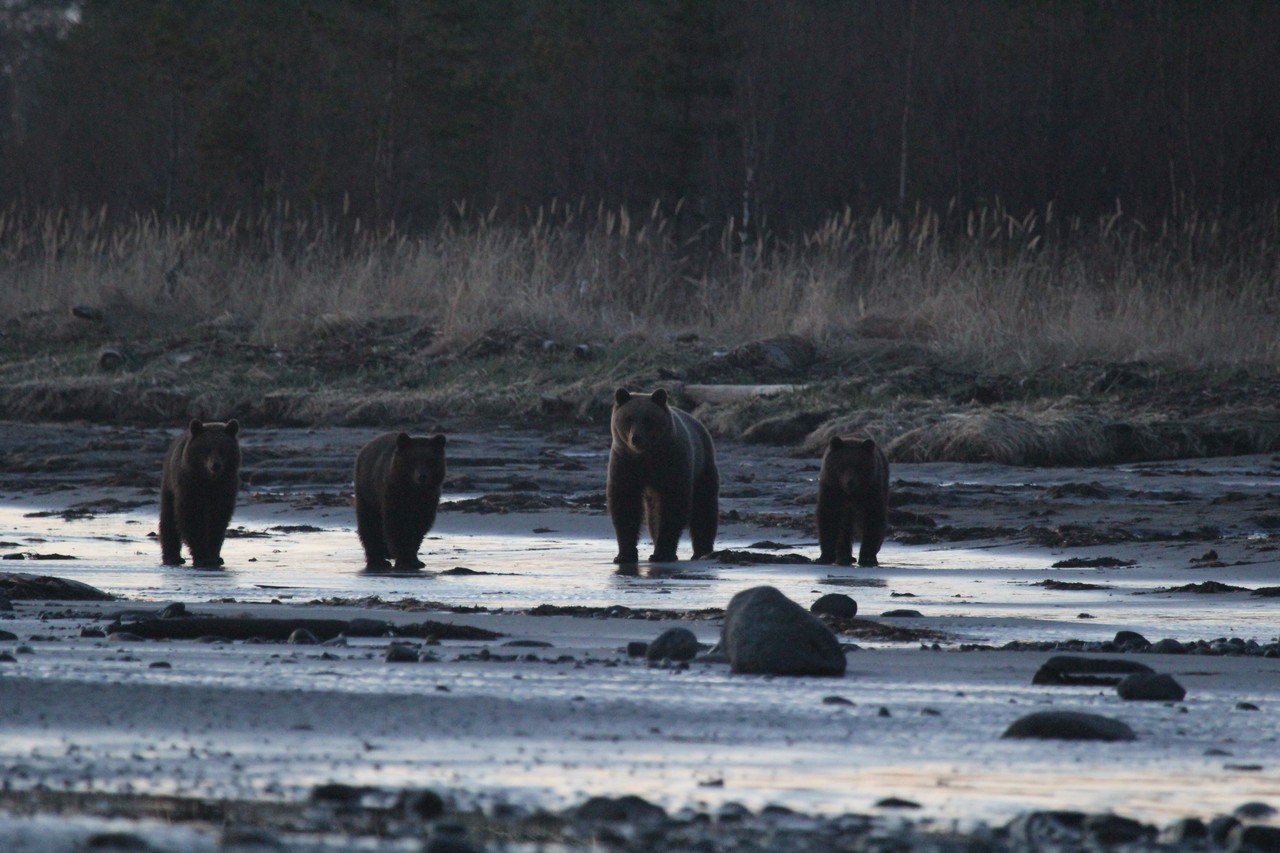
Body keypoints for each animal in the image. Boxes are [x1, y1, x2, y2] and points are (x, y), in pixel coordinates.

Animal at [159, 417, 241, 568]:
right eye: (206, 449)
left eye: (223, 449)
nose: (215, 465)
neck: (209, 481)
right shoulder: (189, 485)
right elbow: (192, 517)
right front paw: (203, 557)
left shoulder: (226, 487)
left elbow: (218, 519)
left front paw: (215, 556)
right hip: (169, 484)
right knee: (168, 518)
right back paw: (172, 557)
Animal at [353, 427, 448, 568]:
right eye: (413, 460)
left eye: (430, 460)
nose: (422, 476)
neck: (413, 491)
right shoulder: (393, 492)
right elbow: (397, 523)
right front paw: (405, 559)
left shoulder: (428, 498)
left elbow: (419, 525)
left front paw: (414, 559)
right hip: (367, 491)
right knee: (369, 522)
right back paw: (378, 560)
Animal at [604, 386, 716, 560]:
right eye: (629, 418)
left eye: (647, 419)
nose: (636, 438)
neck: (647, 456)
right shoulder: (625, 463)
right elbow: (625, 503)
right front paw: (625, 554)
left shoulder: (672, 463)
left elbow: (673, 505)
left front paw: (663, 552)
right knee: (653, 512)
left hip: (703, 465)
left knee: (704, 506)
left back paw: (702, 550)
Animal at [814, 432, 885, 563]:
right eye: (842, 465)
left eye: (859, 466)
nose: (850, 482)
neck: (850, 494)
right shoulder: (831, 488)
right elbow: (829, 516)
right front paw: (825, 556)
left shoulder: (872, 489)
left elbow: (873, 517)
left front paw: (867, 557)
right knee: (844, 526)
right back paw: (844, 556)